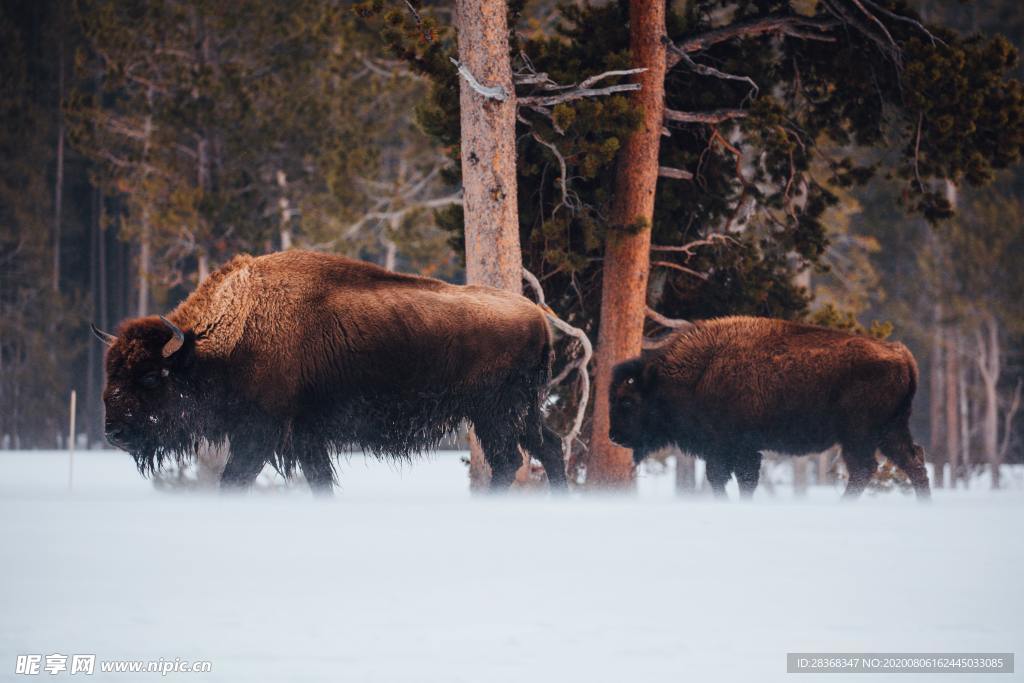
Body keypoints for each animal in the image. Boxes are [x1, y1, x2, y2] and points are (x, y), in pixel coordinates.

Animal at [95, 249, 569, 491]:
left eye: (150, 376)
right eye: (111, 373)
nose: (114, 432)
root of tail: (536, 316)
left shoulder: (261, 432)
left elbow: (235, 477)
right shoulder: (306, 436)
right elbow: (318, 477)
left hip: (495, 413)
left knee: (509, 460)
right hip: (521, 411)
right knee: (548, 446)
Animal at [610, 317, 933, 501]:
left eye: (627, 400)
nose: (614, 436)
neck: (699, 373)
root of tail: (900, 354)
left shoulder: (733, 448)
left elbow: (733, 478)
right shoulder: (729, 450)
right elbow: (731, 479)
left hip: (858, 434)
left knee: (865, 468)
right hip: (890, 430)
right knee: (913, 461)